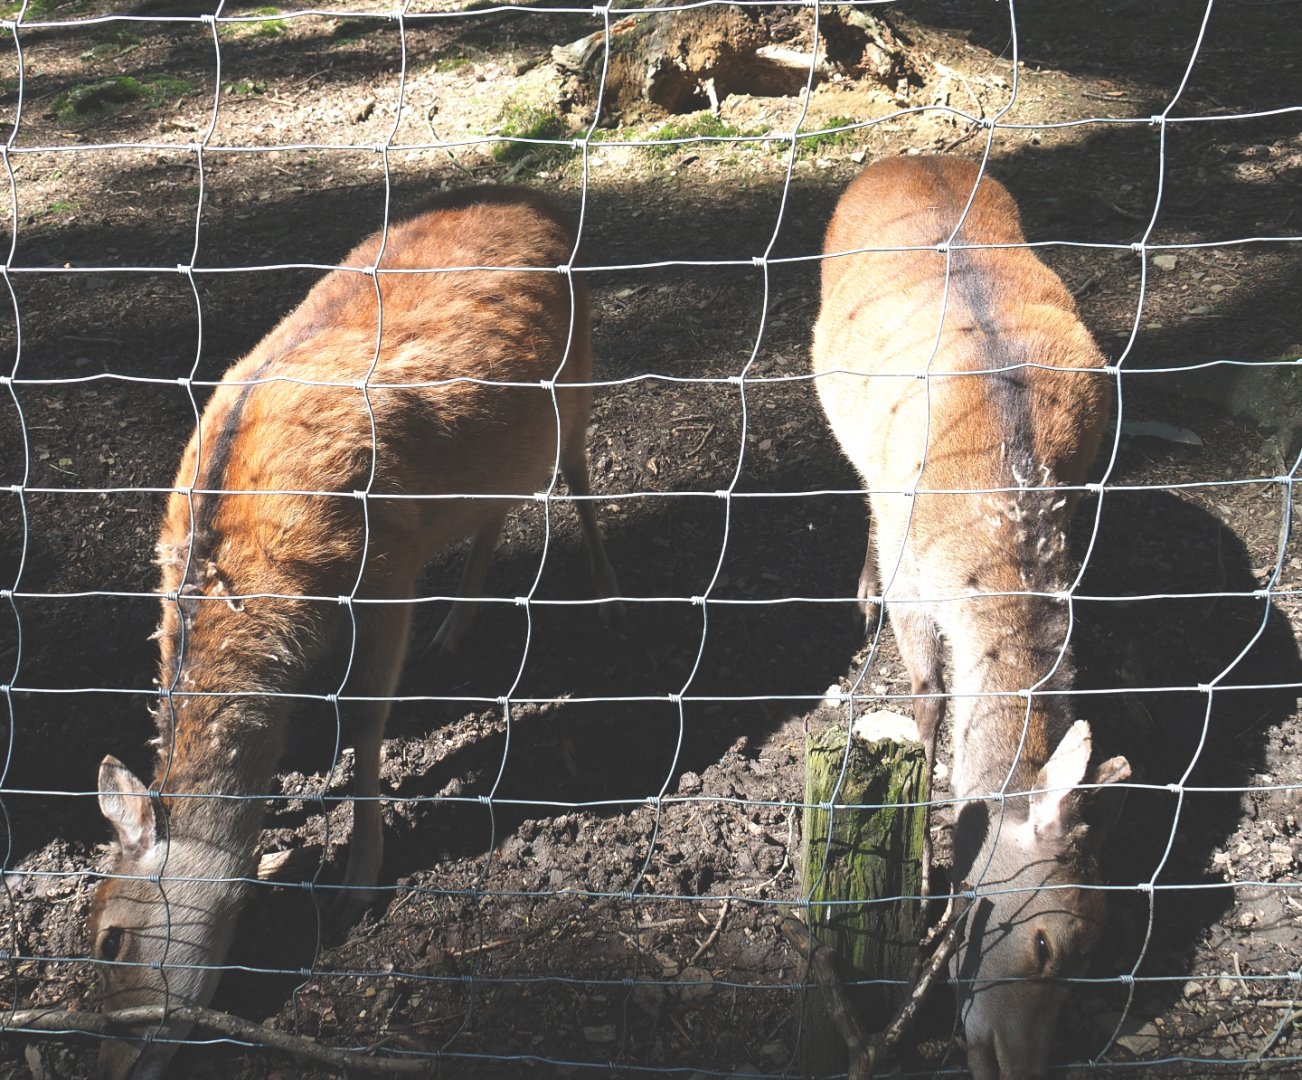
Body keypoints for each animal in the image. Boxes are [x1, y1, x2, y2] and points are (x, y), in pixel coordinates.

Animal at [88, 186, 621, 1080]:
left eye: (108, 939)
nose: (99, 1057)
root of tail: (544, 210)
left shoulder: (387, 562)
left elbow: (366, 720)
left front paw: (357, 884)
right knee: (499, 505)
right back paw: (455, 631)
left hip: (577, 378)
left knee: (576, 468)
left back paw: (609, 594)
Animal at [810, 155, 1131, 1079]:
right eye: (1046, 944)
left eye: (1096, 947)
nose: (1023, 1065)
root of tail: (903, 158)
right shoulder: (916, 569)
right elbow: (925, 701)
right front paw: (925, 875)